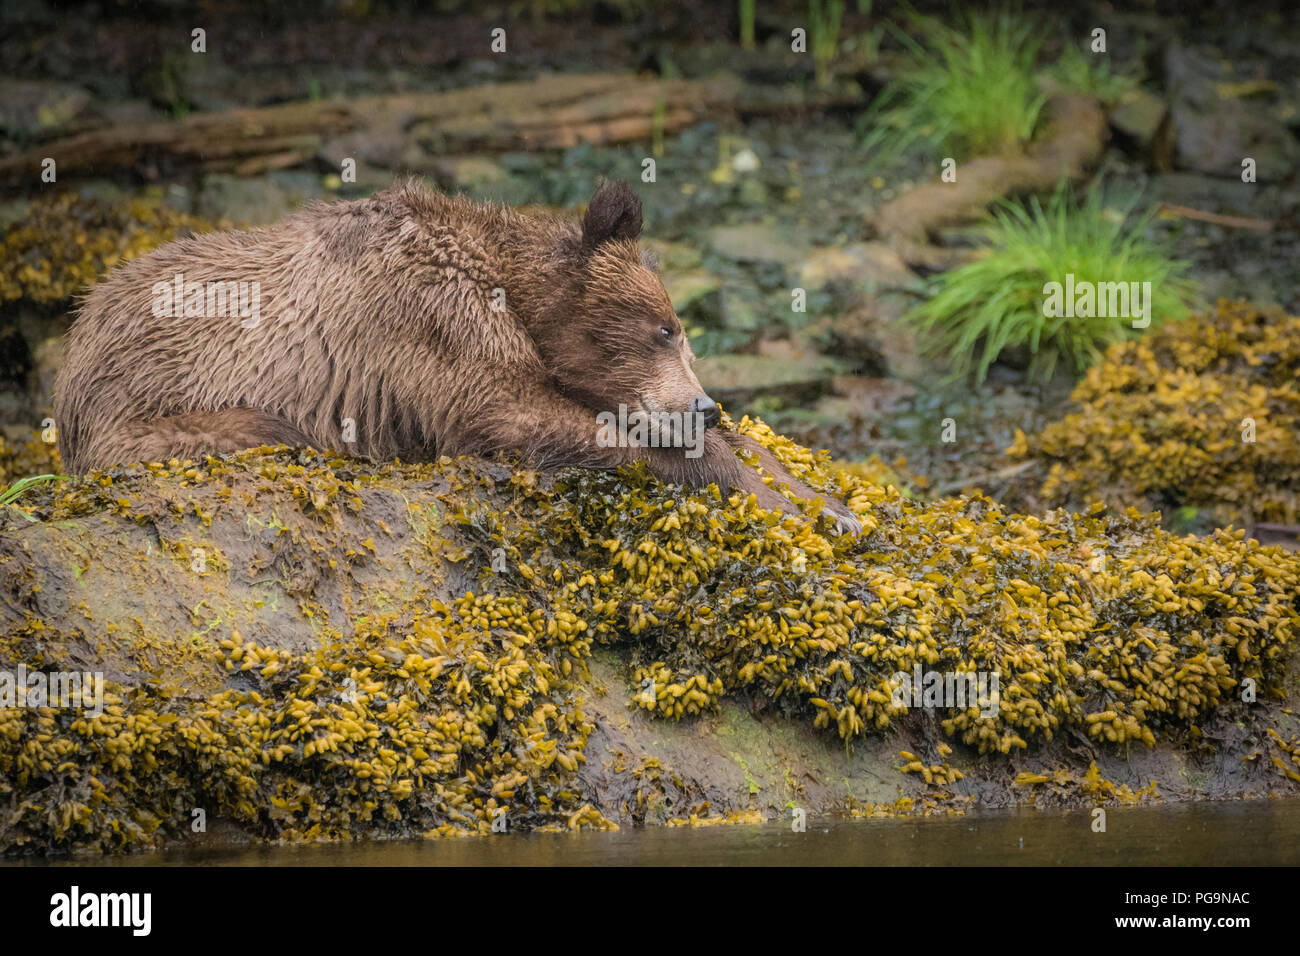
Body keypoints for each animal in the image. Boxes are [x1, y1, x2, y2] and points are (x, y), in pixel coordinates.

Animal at [53, 179, 863, 535]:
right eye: (663, 329)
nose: (706, 402)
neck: (512, 292)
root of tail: (76, 339)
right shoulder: (432, 327)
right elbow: (510, 414)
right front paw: (755, 485)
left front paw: (824, 500)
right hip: (153, 396)